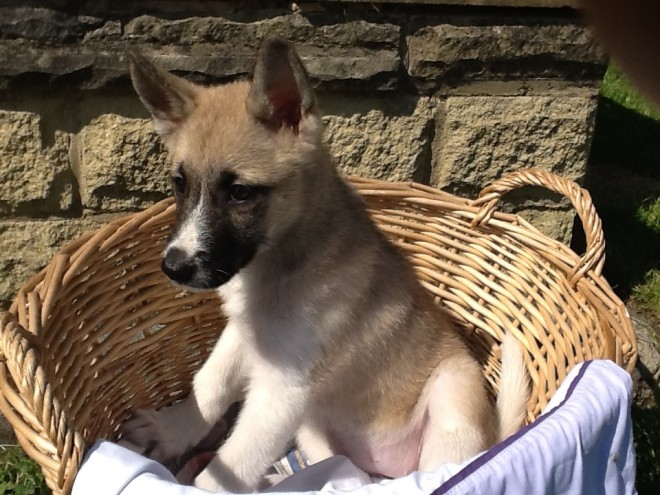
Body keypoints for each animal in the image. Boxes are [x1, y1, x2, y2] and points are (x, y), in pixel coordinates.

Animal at [118, 37, 528, 492]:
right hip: (315, 435)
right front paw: (171, 430)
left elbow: (231, 464)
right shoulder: (244, 334)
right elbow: (208, 385)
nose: (174, 268)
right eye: (179, 184)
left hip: (451, 392)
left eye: (240, 192)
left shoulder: (284, 389)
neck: (279, 266)